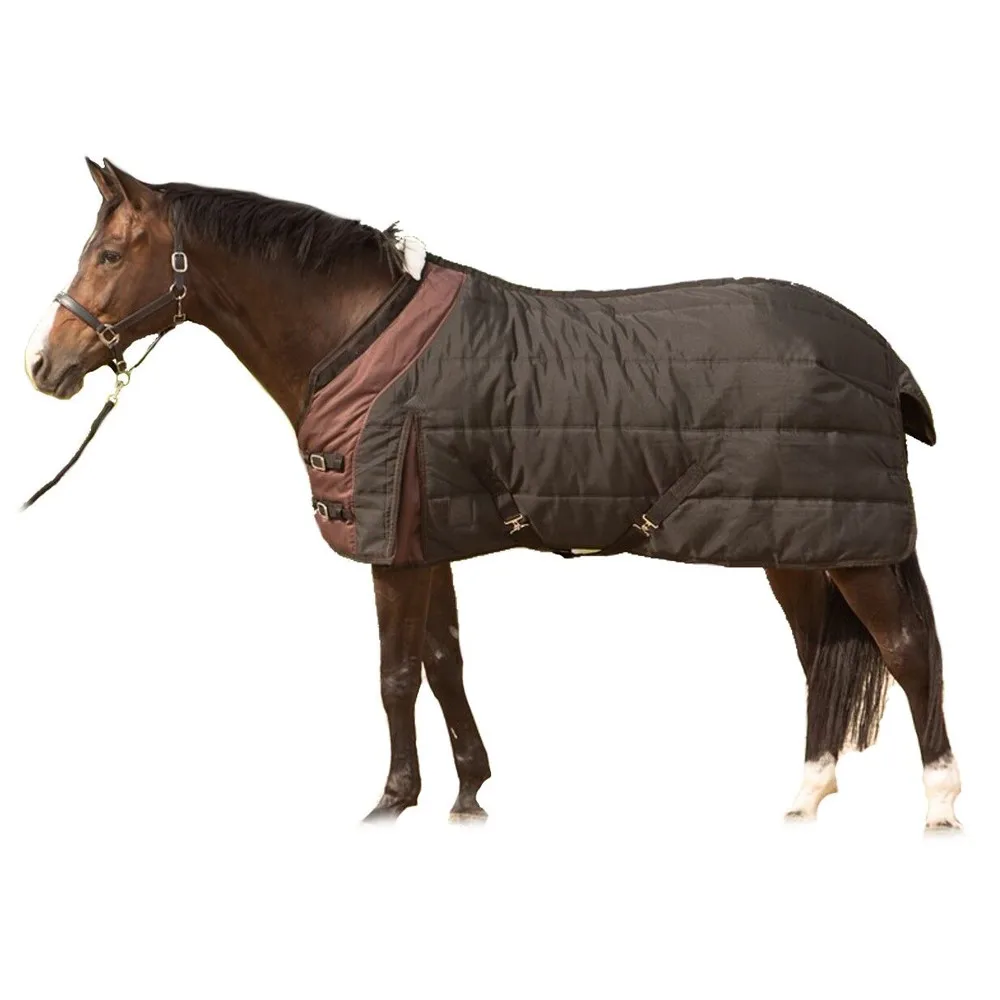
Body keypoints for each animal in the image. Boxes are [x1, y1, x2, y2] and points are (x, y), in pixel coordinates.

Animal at [22, 158, 961, 830]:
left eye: (109, 254)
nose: (44, 366)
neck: (359, 342)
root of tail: (879, 354)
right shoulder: (425, 536)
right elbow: (444, 662)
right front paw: (468, 793)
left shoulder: (392, 547)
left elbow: (396, 674)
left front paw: (392, 799)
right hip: (794, 545)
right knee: (818, 657)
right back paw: (806, 795)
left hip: (851, 548)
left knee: (908, 650)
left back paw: (940, 806)